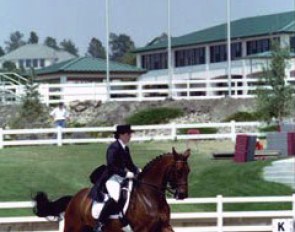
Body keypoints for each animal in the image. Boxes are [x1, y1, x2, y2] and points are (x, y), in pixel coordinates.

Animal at [34, 148, 192, 231]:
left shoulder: (164, 226)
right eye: (178, 171)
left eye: (188, 171)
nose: (182, 194)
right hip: (74, 226)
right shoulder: (143, 229)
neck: (150, 196)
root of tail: (74, 198)